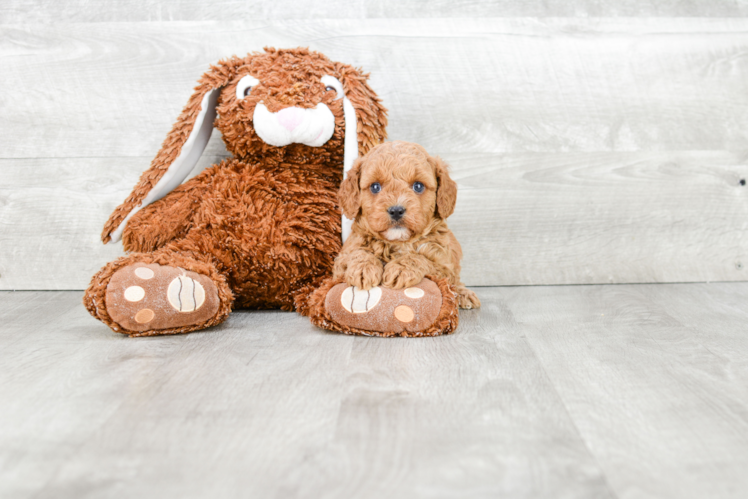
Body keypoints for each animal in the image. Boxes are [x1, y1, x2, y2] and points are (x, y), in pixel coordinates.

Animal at [334, 139, 480, 306]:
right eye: (375, 187)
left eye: (418, 186)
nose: (396, 210)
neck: (399, 243)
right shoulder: (341, 260)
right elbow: (357, 253)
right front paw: (363, 267)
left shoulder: (444, 266)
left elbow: (421, 258)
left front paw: (400, 268)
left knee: (457, 282)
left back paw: (464, 294)